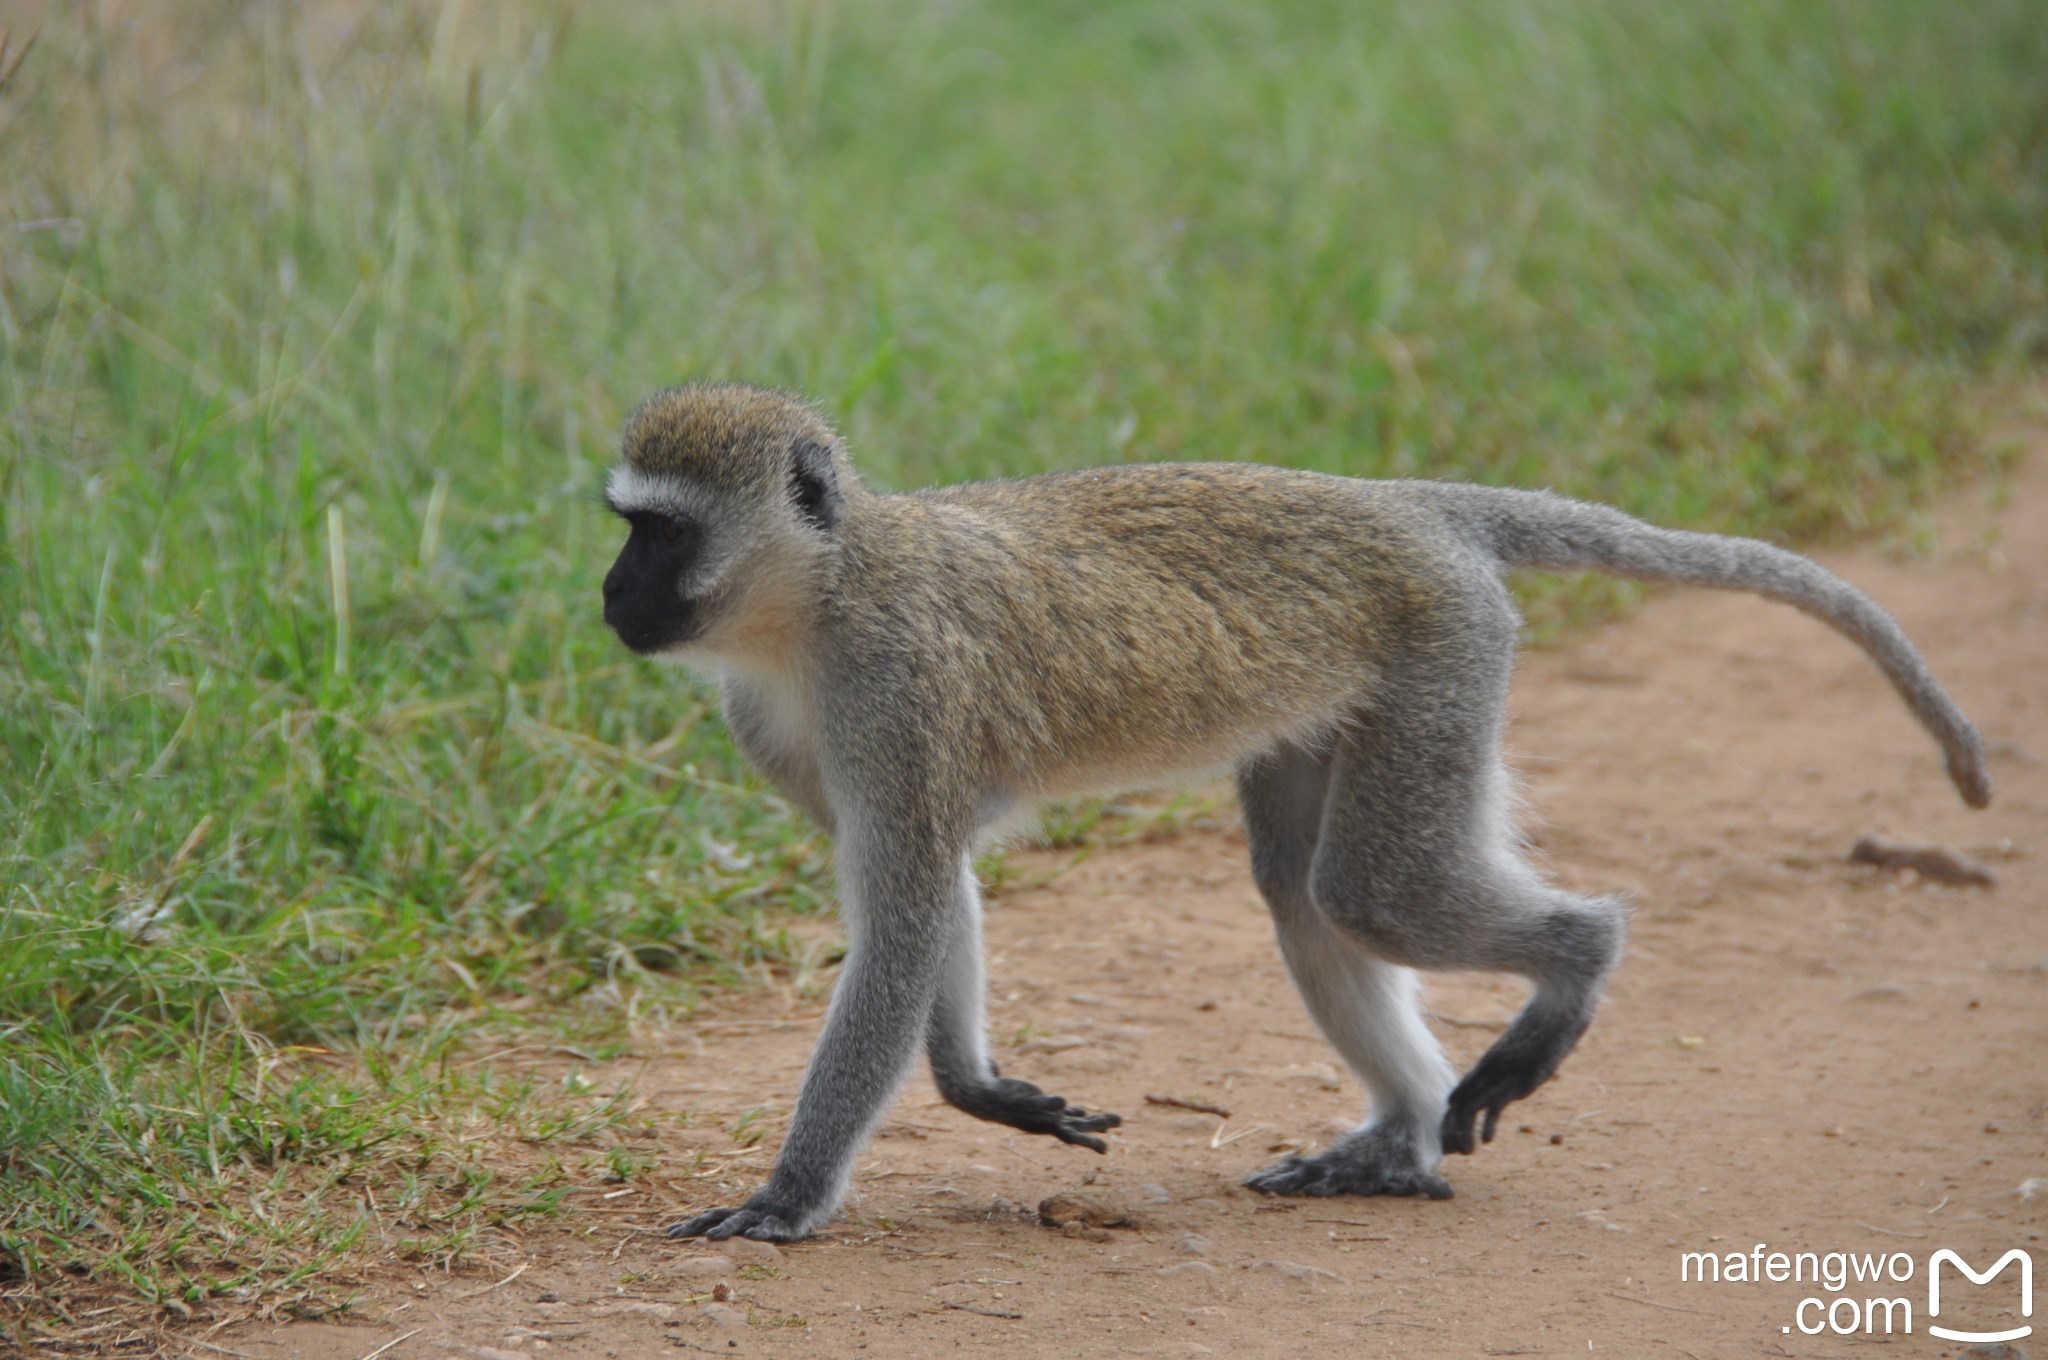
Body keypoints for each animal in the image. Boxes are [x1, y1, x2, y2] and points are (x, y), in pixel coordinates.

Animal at [598, 383, 1990, 1245]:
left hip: (1441, 650)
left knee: (1370, 889)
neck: (819, 597)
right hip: (1352, 696)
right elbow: (926, 890)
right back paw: (1399, 1140)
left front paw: (788, 1196)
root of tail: (1399, 500)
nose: (607, 593)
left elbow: (903, 909)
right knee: (1302, 883)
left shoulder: (896, 691)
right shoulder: (781, 727)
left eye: (659, 534)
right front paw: (981, 1088)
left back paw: (1571, 968)